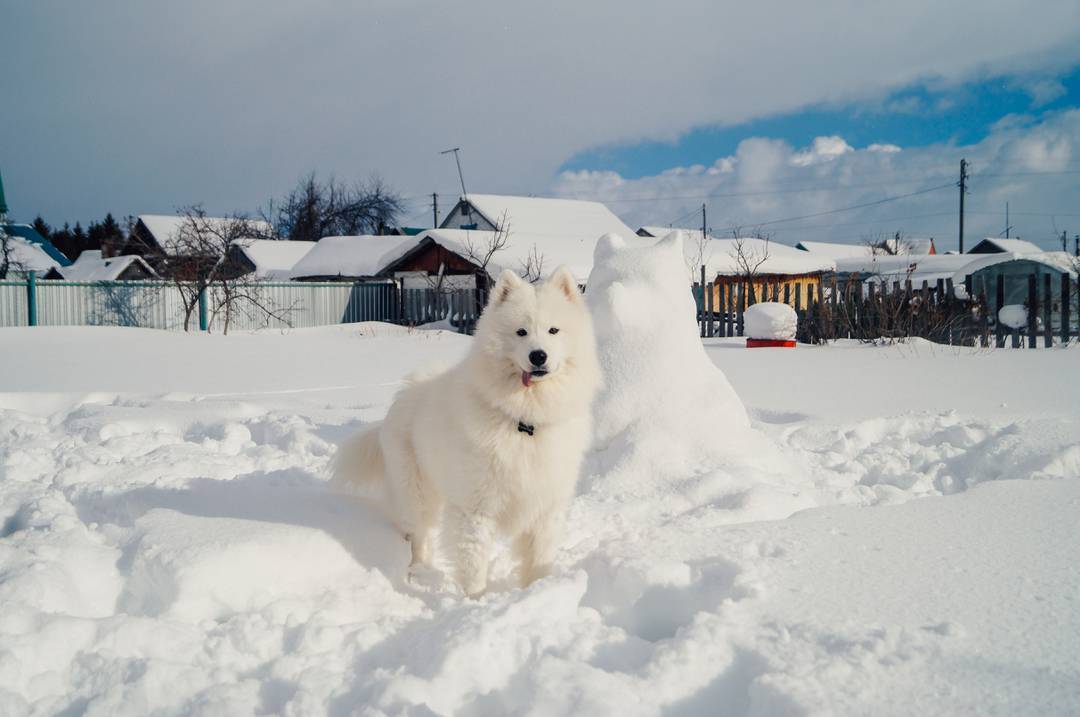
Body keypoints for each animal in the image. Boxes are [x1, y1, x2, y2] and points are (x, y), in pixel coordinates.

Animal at [334, 265, 600, 596]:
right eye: (521, 332)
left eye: (554, 331)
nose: (538, 356)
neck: (525, 419)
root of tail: (404, 394)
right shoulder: (474, 507)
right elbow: (473, 563)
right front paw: (476, 600)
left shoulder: (546, 504)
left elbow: (540, 558)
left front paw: (541, 590)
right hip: (416, 491)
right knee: (417, 534)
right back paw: (417, 571)